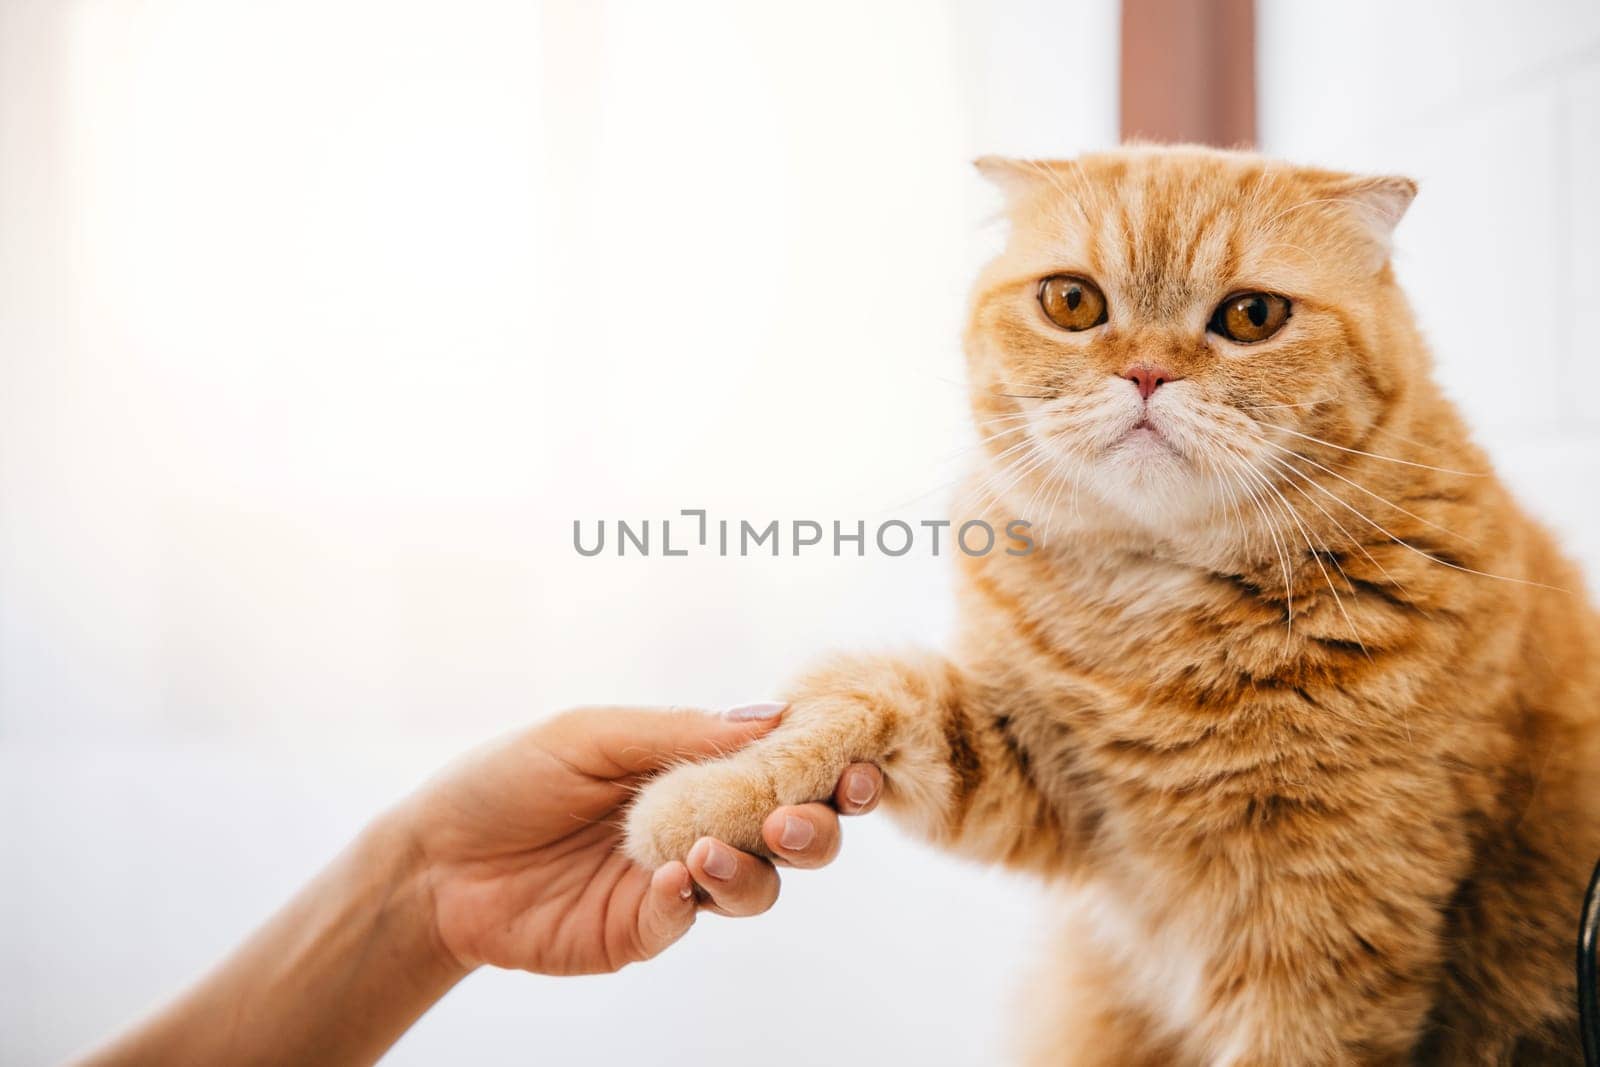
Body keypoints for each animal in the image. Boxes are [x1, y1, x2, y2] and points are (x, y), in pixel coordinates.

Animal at [620, 146, 1600, 1062]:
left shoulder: (1329, 932)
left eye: (1252, 316)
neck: (1152, 612)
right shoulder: (1036, 780)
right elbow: (865, 697)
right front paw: (706, 798)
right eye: (1072, 303)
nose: (1146, 374)